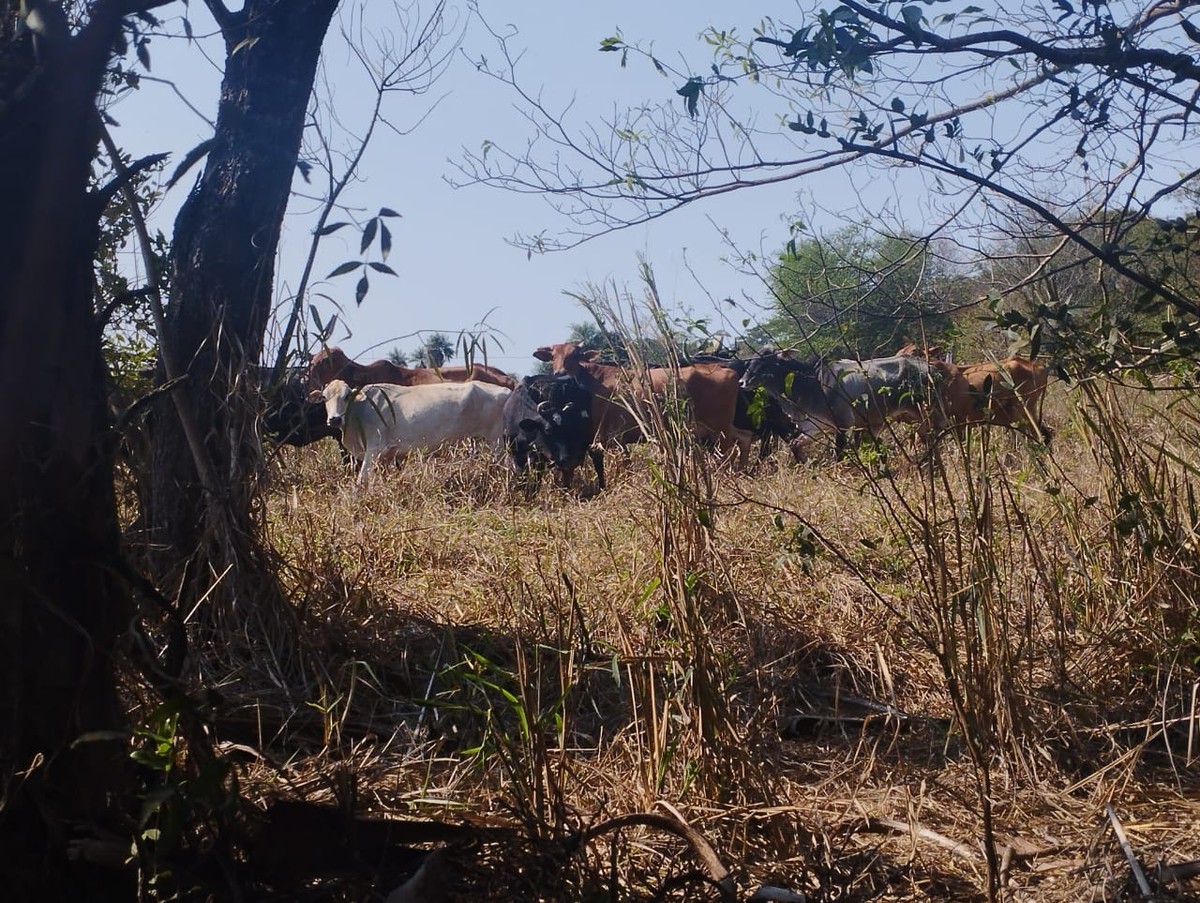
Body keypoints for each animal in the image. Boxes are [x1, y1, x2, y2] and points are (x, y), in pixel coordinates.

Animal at [309, 377, 511, 482]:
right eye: (325, 397)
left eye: (346, 396)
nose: (334, 419)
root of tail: (507, 391)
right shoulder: (386, 456)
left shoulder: (373, 449)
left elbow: (361, 480)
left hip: (497, 442)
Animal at [532, 341, 748, 461]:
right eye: (553, 356)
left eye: (575, 355)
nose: (560, 373)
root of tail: (727, 370)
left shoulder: (611, 437)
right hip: (722, 427)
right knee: (744, 439)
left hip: (719, 428)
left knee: (729, 451)